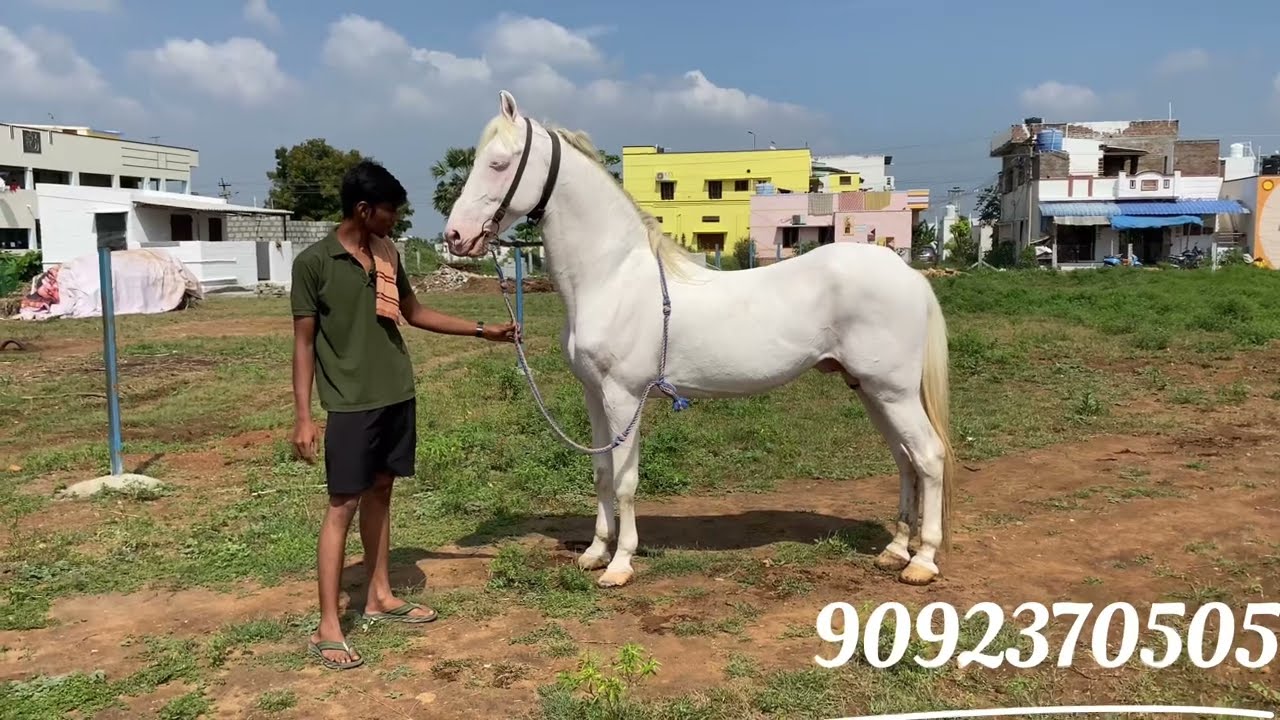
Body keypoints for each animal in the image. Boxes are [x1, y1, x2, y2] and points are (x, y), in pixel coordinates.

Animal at [443, 90, 956, 588]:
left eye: (498, 163)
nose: (455, 236)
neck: (612, 277)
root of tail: (909, 274)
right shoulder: (593, 394)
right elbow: (602, 474)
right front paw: (594, 553)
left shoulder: (623, 397)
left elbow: (626, 480)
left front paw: (620, 565)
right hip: (870, 389)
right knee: (905, 459)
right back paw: (895, 550)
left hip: (893, 391)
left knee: (929, 457)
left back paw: (923, 561)